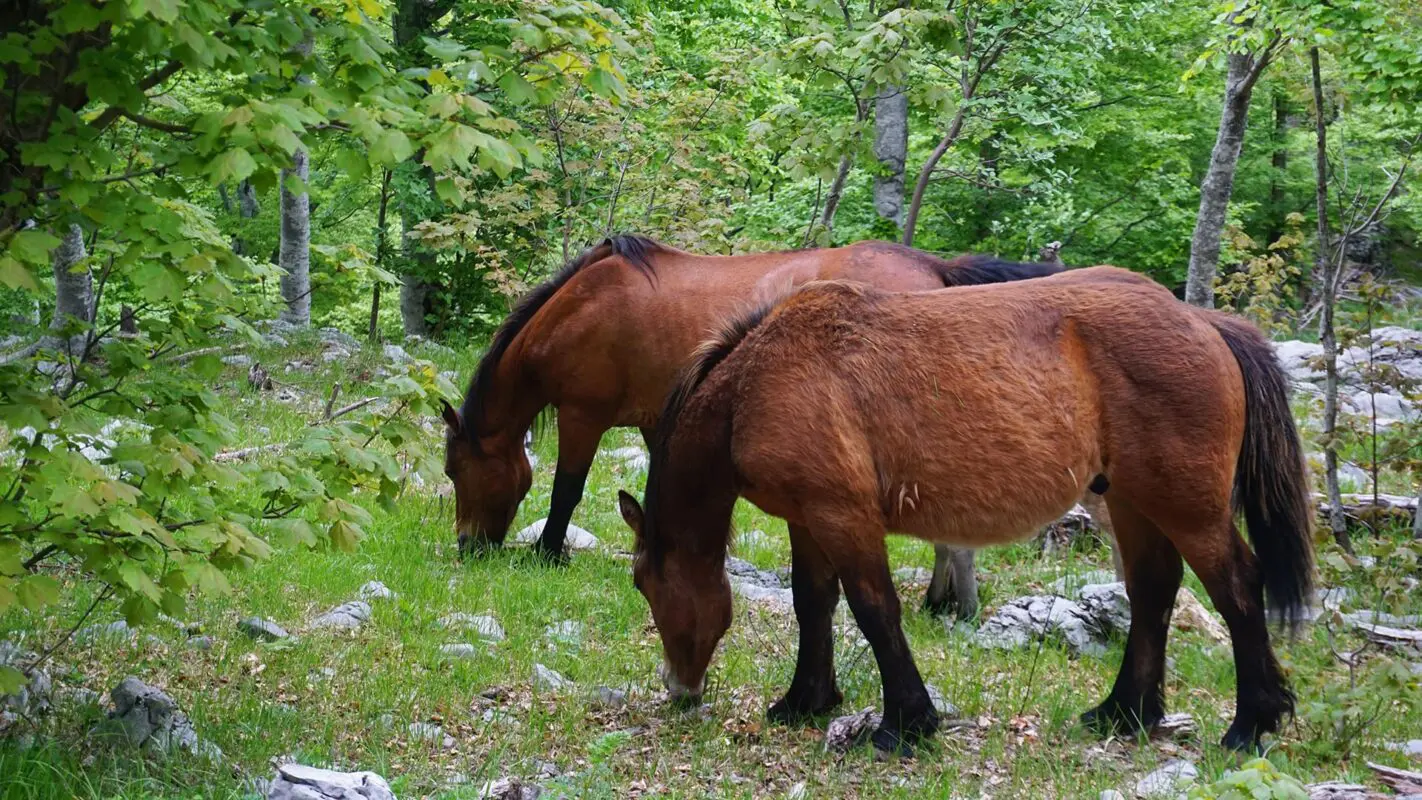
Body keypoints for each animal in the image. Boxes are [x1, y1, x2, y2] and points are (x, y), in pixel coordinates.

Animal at [443, 234, 1057, 579]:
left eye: (453, 471)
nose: (467, 547)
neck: (584, 306)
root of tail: (935, 268)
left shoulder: (582, 414)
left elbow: (565, 490)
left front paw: (547, 554)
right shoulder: (656, 420)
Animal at [617, 268, 1313, 755]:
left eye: (646, 584)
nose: (679, 691)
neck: (758, 382)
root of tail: (1203, 321)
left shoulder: (844, 517)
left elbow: (874, 610)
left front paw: (905, 724)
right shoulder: (807, 521)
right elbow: (813, 604)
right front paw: (805, 701)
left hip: (1187, 509)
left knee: (1237, 588)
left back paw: (1251, 724)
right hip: (1133, 503)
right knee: (1152, 593)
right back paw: (1124, 713)